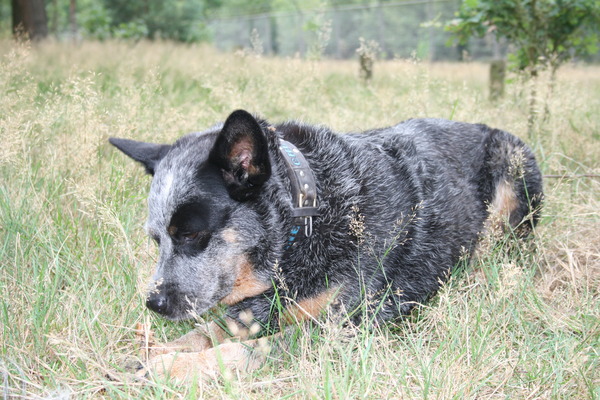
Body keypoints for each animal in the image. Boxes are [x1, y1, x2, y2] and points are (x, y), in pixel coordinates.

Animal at [109, 108, 544, 382]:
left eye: (190, 234)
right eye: (156, 238)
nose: (153, 303)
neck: (306, 221)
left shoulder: (342, 328)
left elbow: (247, 349)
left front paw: (169, 369)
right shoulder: (249, 312)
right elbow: (202, 334)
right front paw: (155, 352)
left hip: (512, 181)